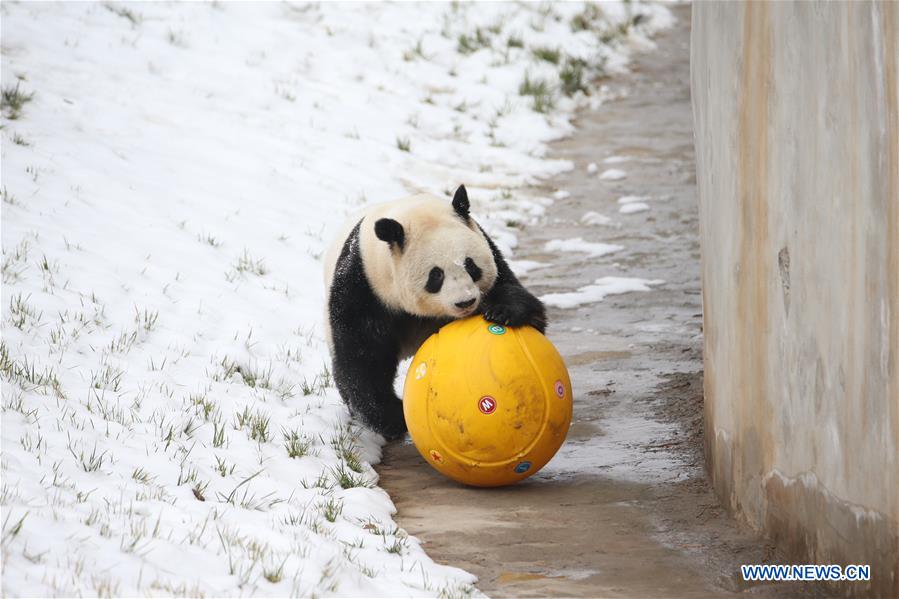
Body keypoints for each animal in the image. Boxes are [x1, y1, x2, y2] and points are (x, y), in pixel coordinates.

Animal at [326, 184, 548, 440]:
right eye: (436, 275)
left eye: (470, 265)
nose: (466, 302)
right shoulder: (365, 285)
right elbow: (362, 355)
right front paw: (395, 418)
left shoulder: (491, 254)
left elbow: (520, 300)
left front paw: (502, 312)